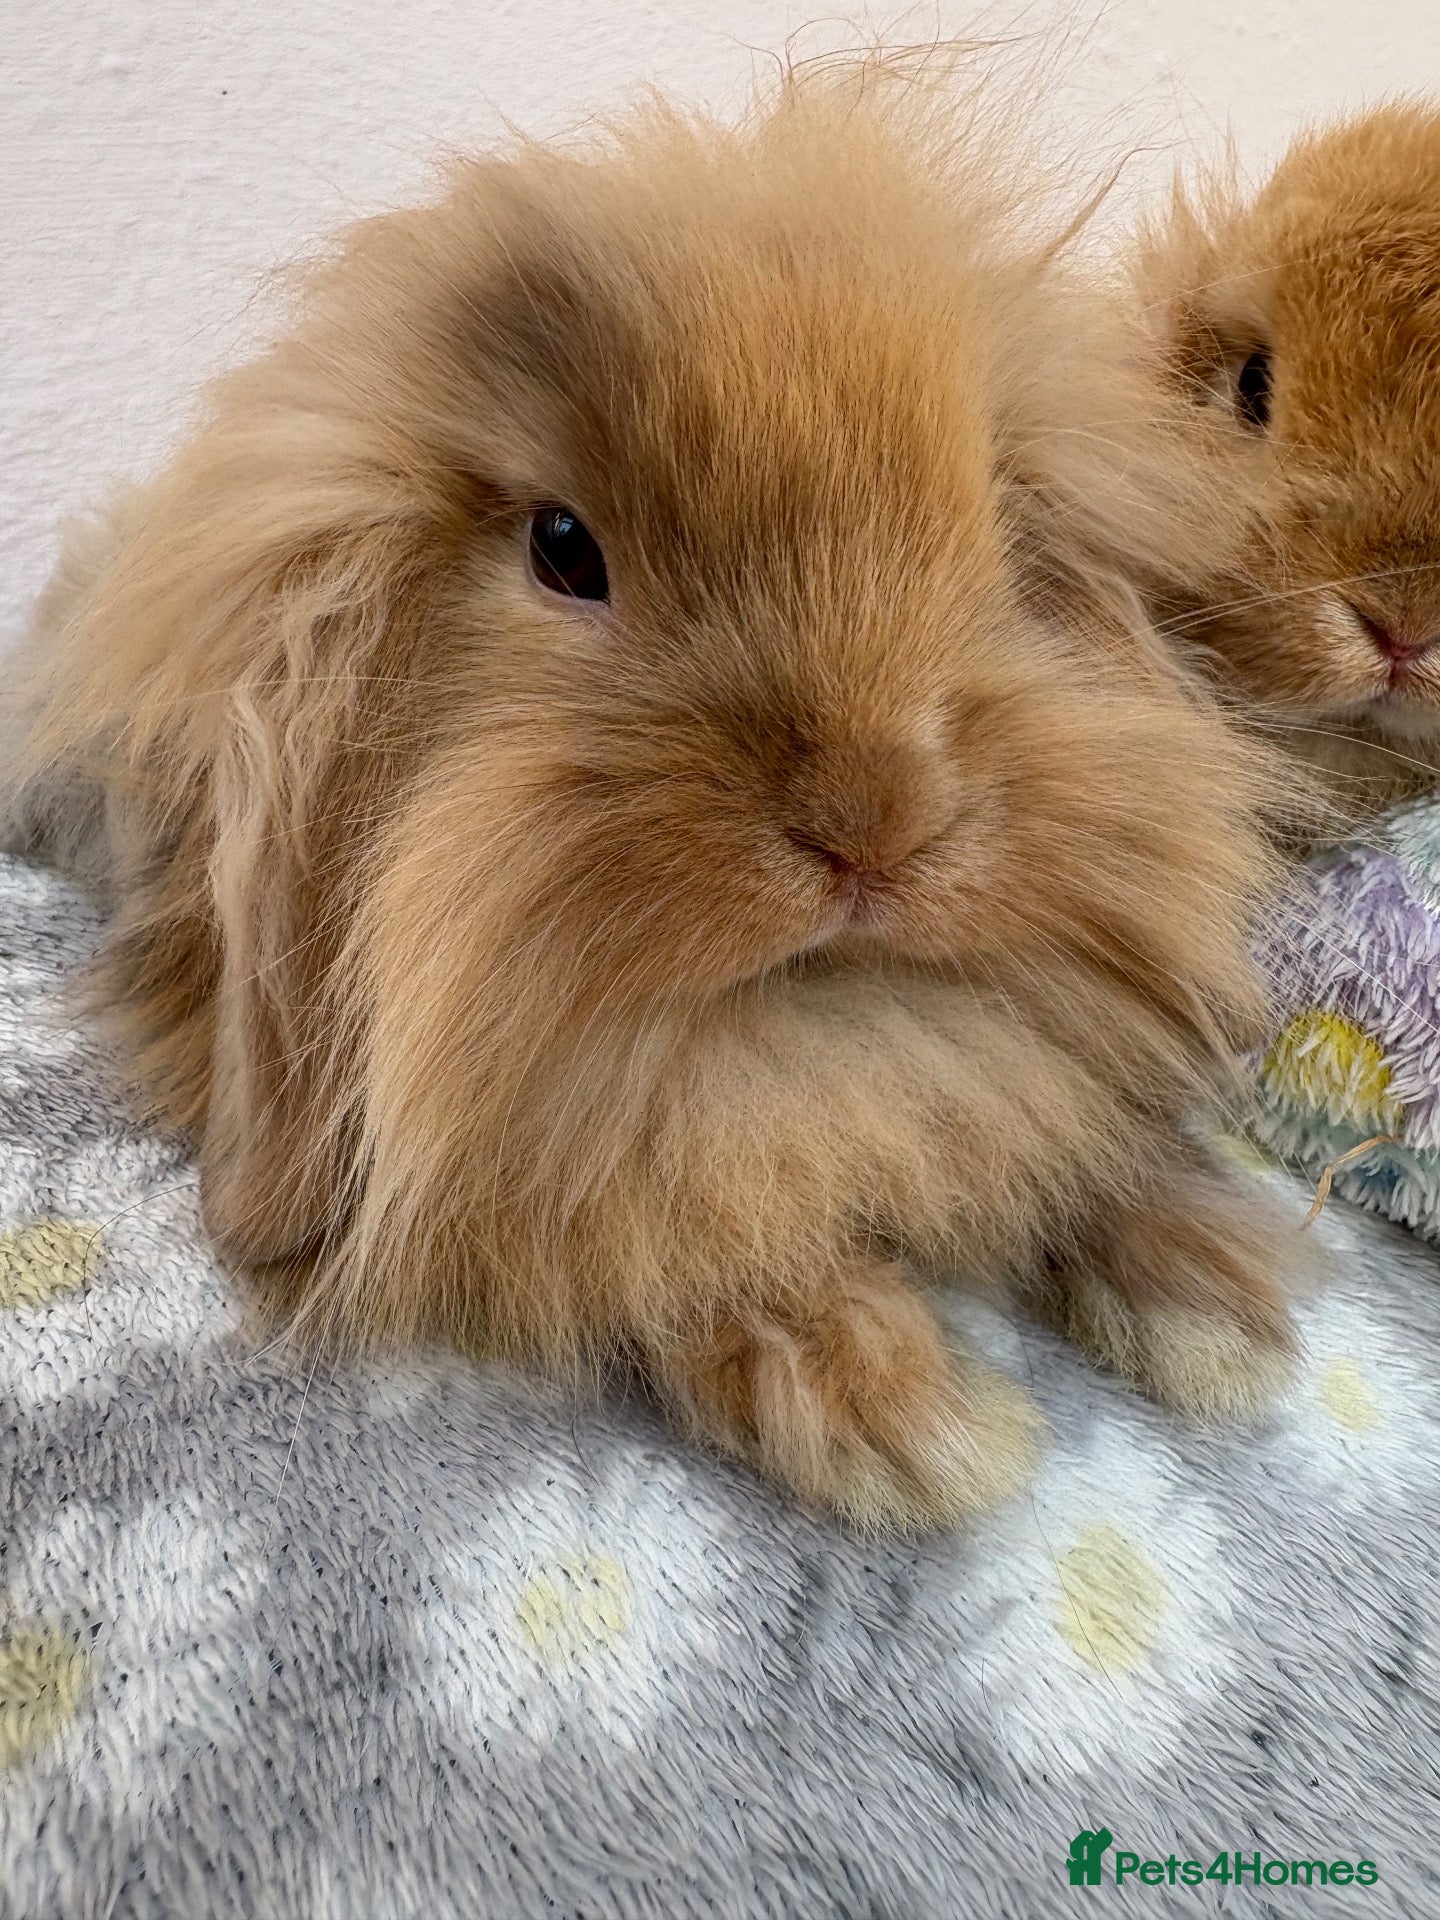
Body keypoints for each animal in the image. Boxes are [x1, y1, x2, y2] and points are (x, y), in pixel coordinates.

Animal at [1, 63, 1306, 1530]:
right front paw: (884, 1406)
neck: (798, 1030)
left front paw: (1214, 1300)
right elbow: (649, 1233)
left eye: (1002, 535)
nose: (879, 814)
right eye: (567, 550)